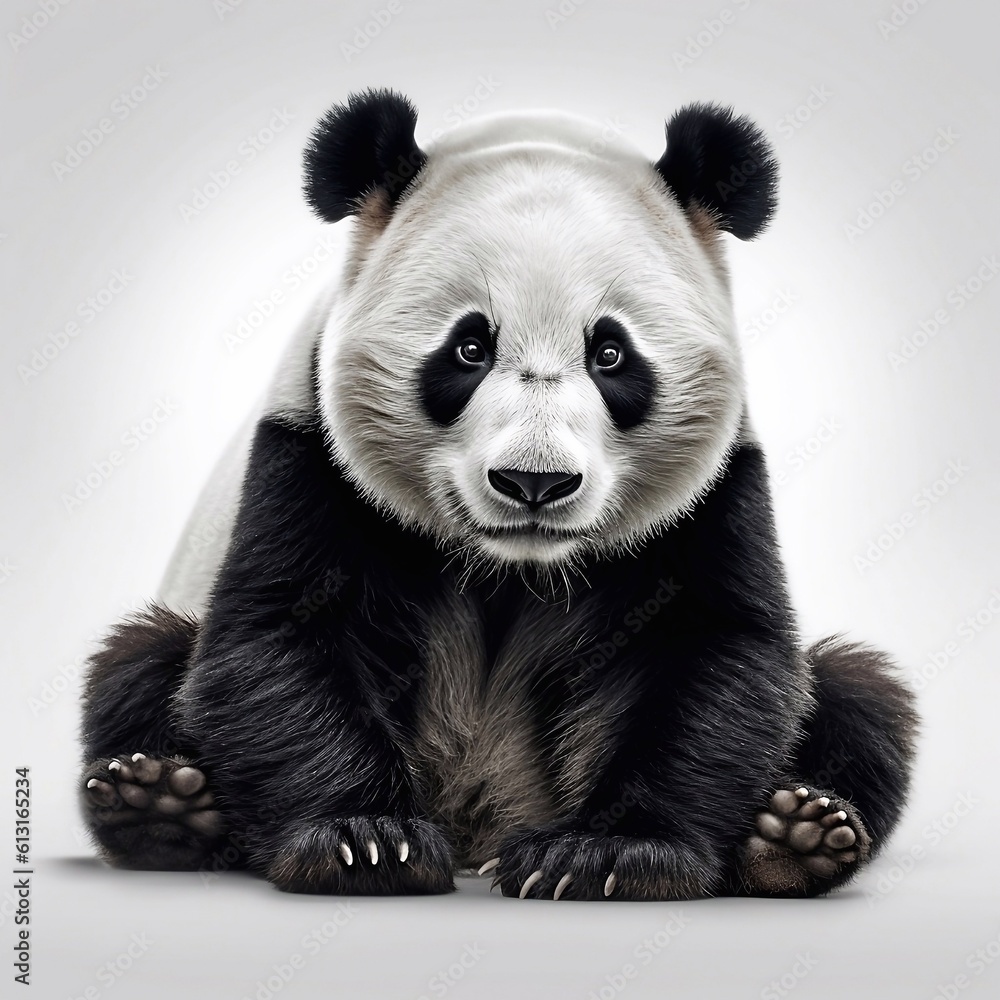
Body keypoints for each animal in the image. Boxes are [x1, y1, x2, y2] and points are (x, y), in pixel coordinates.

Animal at [80, 89, 917, 900]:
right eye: (469, 347)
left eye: (611, 353)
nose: (534, 482)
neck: (514, 565)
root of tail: (477, 828)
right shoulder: (308, 452)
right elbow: (278, 635)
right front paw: (365, 841)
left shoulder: (714, 493)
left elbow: (713, 651)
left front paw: (607, 856)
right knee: (142, 659)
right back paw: (160, 806)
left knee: (859, 697)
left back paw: (796, 836)